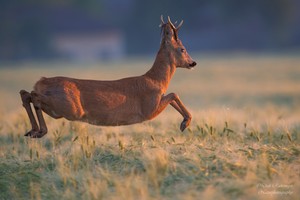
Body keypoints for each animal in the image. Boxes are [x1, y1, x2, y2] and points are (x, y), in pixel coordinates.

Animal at [19, 16, 197, 138]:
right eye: (182, 49)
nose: (193, 63)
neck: (156, 80)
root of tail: (41, 81)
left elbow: (172, 95)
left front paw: (185, 122)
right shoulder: (149, 109)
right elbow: (174, 94)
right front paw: (185, 123)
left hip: (57, 110)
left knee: (26, 94)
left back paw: (33, 131)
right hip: (69, 107)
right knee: (33, 95)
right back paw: (39, 130)